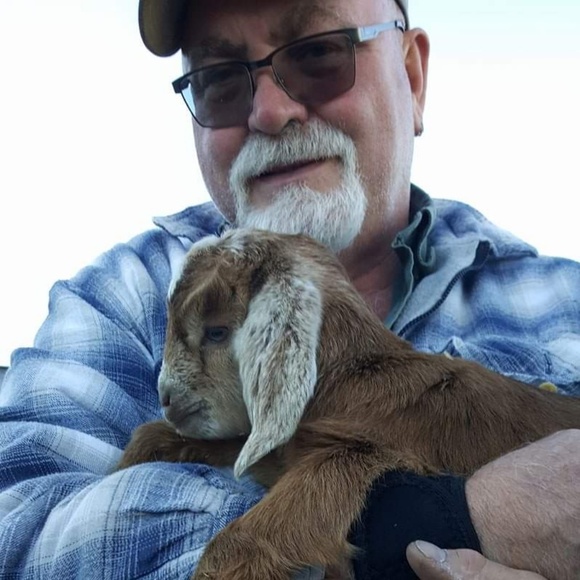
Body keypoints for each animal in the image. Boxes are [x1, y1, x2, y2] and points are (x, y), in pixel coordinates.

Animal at [118, 228, 580, 580]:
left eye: (216, 332)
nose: (166, 398)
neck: (356, 375)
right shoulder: (288, 445)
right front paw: (136, 454)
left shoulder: (361, 453)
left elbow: (247, 538)